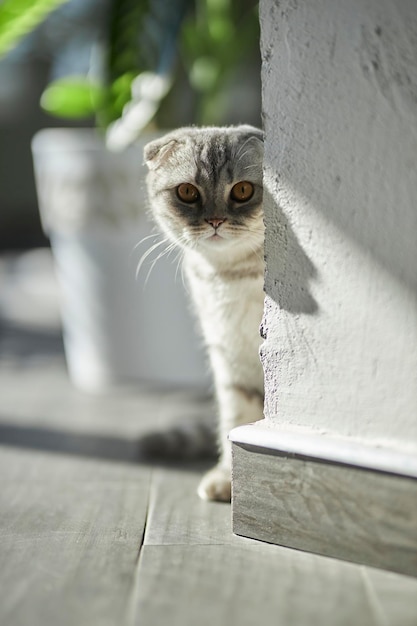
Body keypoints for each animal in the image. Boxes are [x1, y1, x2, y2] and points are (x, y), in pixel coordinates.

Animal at [143, 124, 264, 500]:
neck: (230, 277)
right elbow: (236, 419)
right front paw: (228, 478)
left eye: (242, 190)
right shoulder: (229, 356)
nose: (215, 220)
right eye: (187, 192)